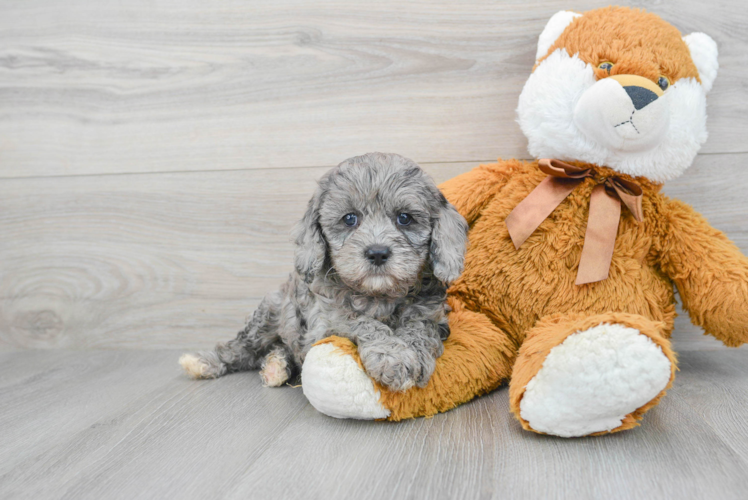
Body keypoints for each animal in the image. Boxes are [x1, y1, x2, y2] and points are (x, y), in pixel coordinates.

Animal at [179, 151, 468, 390]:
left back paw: (275, 367)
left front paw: (414, 352)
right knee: (238, 348)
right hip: (267, 317)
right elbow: (364, 322)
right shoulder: (327, 321)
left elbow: (420, 327)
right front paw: (393, 357)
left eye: (405, 218)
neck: (378, 296)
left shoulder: (433, 315)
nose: (377, 252)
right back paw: (203, 362)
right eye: (349, 218)